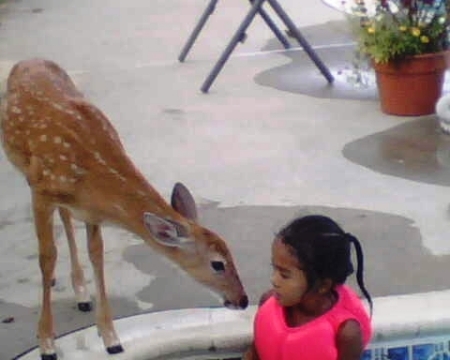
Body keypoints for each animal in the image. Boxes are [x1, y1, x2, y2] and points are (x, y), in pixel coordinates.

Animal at [0, 59, 248, 360]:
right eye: (217, 264)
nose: (243, 300)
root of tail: (27, 61)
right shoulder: (41, 191)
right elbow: (47, 257)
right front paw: (47, 343)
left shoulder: (91, 211)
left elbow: (96, 255)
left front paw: (111, 337)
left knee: (67, 218)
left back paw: (81, 293)